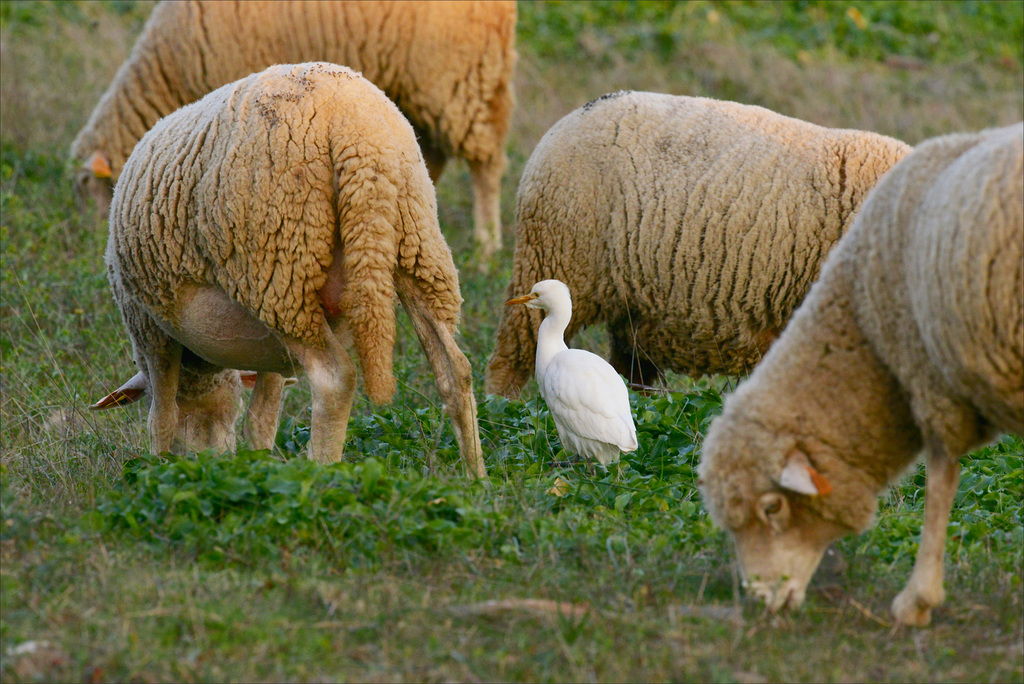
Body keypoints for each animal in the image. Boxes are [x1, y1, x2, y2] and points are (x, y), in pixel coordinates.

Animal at [70, 0, 520, 255]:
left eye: (90, 188)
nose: (91, 245)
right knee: (430, 153)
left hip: (455, 73)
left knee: (485, 161)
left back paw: (487, 248)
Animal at [90, 63, 485, 481]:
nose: (210, 462)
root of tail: (357, 130)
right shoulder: (271, 349)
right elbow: (261, 419)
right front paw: (257, 464)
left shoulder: (149, 329)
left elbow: (160, 418)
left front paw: (155, 468)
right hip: (414, 243)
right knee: (454, 368)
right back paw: (476, 477)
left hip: (280, 270)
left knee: (335, 379)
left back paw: (321, 472)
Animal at [483, 90, 909, 395]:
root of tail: (564, 124)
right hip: (553, 260)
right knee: (511, 357)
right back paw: (501, 412)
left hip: (632, 307)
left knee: (632, 372)